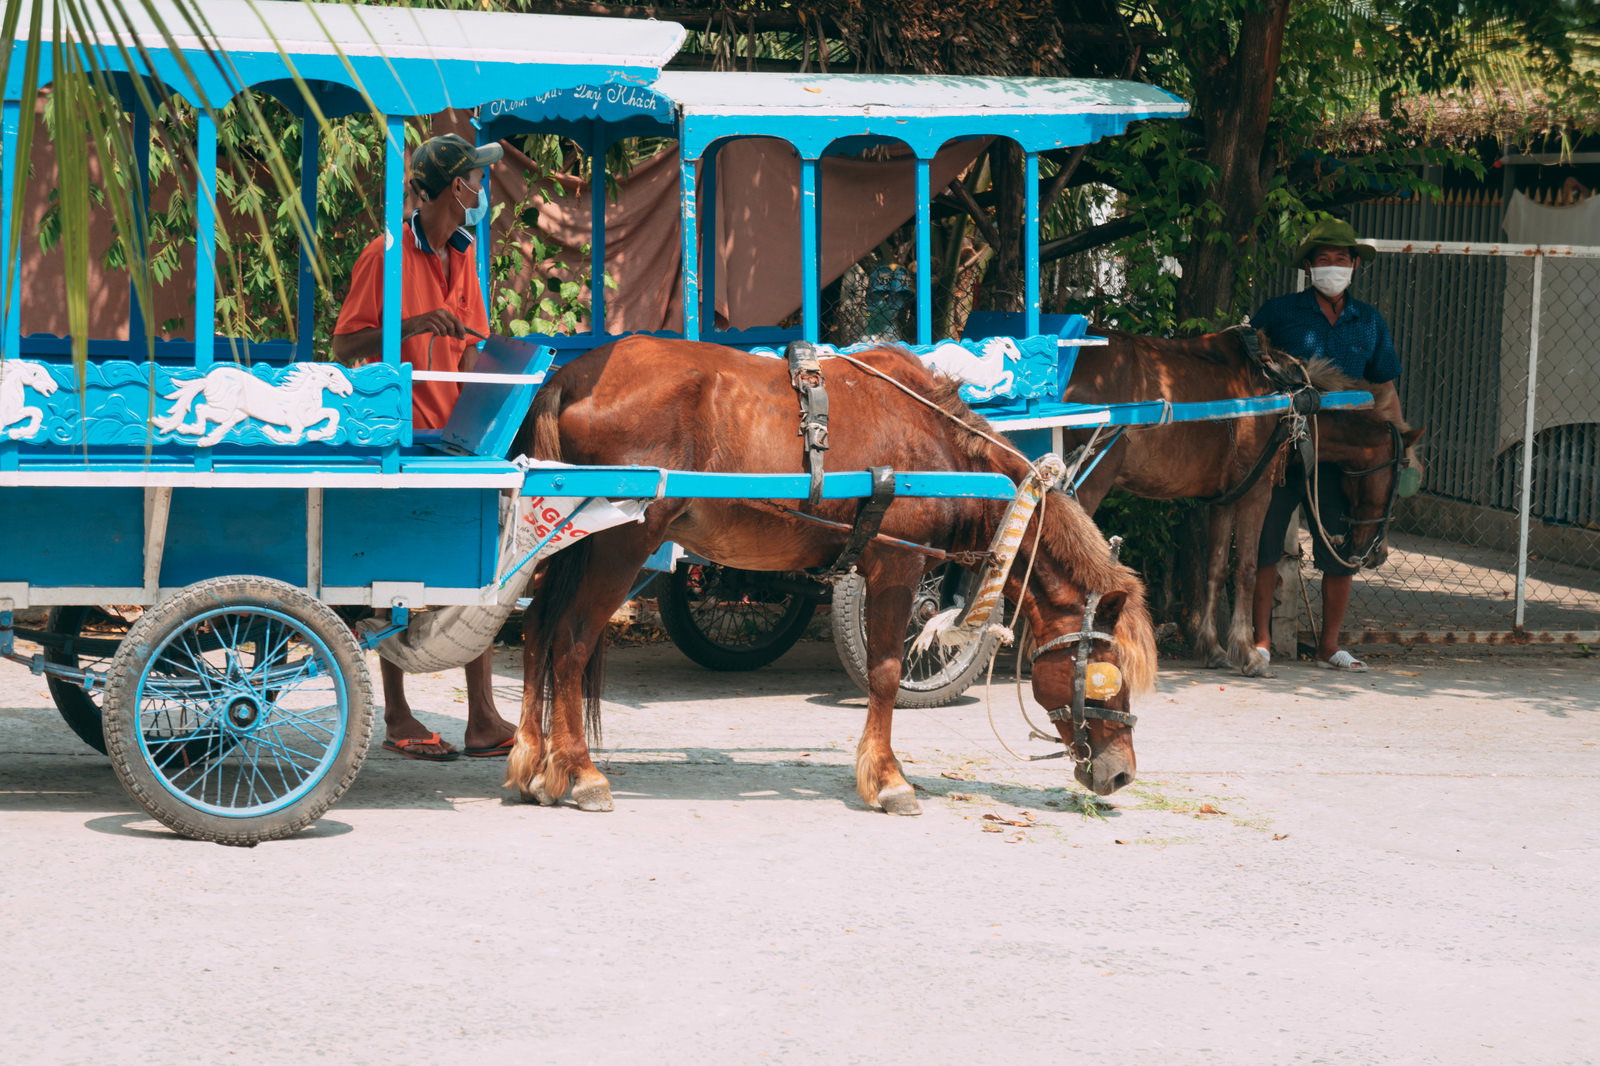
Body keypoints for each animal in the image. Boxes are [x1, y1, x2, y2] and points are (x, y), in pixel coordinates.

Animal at [504, 335, 1158, 814]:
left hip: (562, 541)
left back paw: (533, 763)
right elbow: (887, 672)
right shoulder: (898, 565)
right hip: (621, 541)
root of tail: (572, 376)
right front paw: (889, 779)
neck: (941, 447)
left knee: (537, 631)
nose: (1122, 774)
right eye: (1108, 672)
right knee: (571, 641)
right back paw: (580, 771)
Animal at [1061, 328, 1420, 677]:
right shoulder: (1257, 493)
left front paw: (1213, 649)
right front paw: (1249, 653)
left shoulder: (1224, 499)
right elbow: (1247, 568)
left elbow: (1216, 568)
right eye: (1401, 473)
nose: (1378, 554)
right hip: (1089, 480)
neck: (1286, 396)